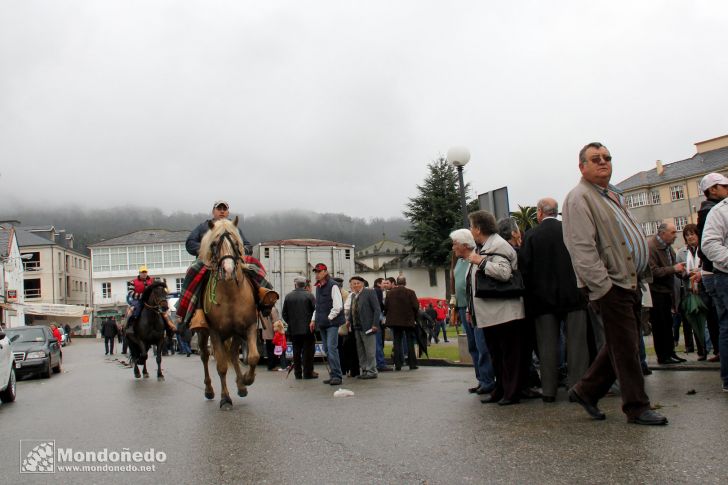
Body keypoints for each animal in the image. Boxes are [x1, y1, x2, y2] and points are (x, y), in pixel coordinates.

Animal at [196, 216, 258, 408]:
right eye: (214, 243)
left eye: (236, 242)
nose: (229, 270)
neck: (230, 294)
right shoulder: (214, 332)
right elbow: (221, 366)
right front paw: (225, 398)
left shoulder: (249, 326)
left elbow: (253, 357)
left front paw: (247, 380)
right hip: (203, 334)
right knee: (204, 355)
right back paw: (209, 390)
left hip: (235, 333)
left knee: (232, 355)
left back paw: (241, 386)